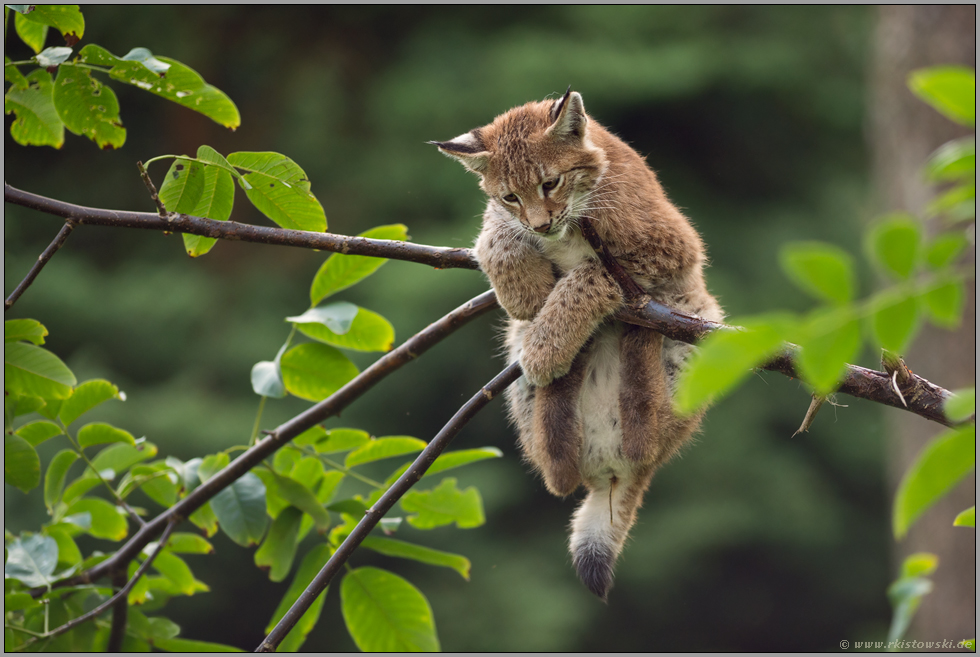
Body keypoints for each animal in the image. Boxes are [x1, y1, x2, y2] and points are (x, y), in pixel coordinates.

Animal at [432, 88, 724, 600]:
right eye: (510, 195)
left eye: (550, 183)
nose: (541, 225)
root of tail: (609, 471)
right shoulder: (505, 221)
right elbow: (494, 234)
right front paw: (524, 290)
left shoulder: (673, 247)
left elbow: (591, 274)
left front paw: (548, 342)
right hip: (524, 389)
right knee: (559, 476)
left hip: (697, 322)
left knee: (647, 442)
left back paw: (629, 350)